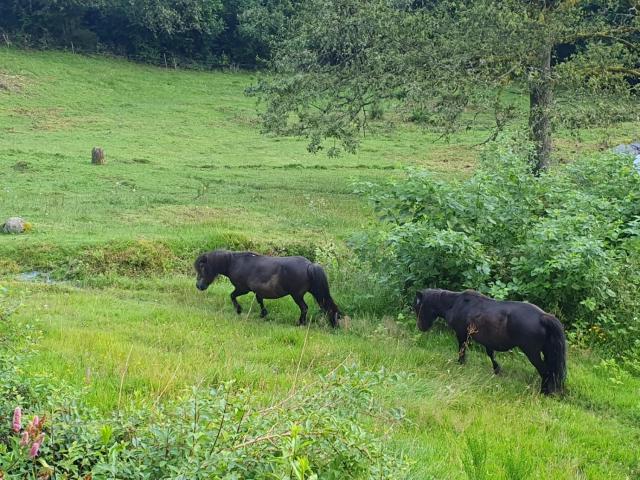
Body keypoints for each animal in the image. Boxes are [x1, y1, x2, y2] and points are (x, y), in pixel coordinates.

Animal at [195, 251, 342, 326]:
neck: (234, 263)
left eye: (202, 267)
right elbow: (260, 301)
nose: (199, 286)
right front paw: (263, 314)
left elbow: (232, 296)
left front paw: (238, 310)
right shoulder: (257, 291)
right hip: (314, 292)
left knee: (304, 308)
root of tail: (309, 265)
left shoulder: (243, 289)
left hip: (297, 295)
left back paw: (301, 323)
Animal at [412, 288, 568, 394]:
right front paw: (497, 369)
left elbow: (462, 350)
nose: (420, 327)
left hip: (532, 352)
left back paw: (544, 392)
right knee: (552, 371)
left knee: (545, 371)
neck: (455, 304)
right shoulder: (487, 341)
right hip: (547, 352)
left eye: (417, 306)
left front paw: (461, 364)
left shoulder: (462, 334)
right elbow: (490, 354)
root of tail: (543, 316)